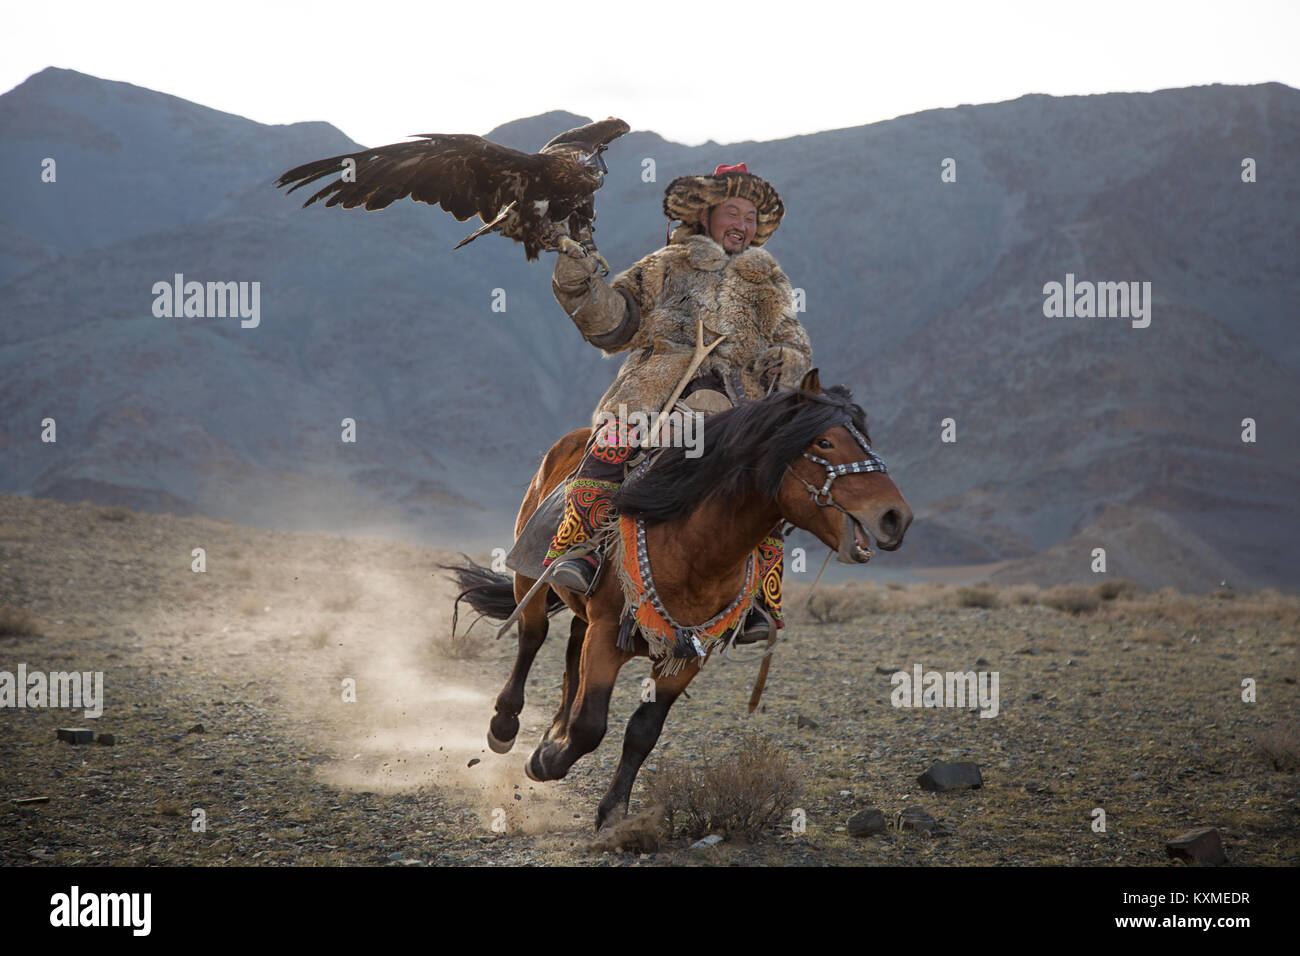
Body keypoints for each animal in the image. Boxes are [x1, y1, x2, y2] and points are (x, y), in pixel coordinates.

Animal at [447, 369, 915, 832]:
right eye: (824, 442)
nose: (896, 517)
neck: (693, 546)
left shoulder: (688, 653)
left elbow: (642, 731)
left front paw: (610, 810)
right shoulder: (607, 635)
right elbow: (590, 725)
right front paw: (546, 762)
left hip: (583, 612)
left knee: (570, 655)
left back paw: (550, 731)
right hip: (530, 578)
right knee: (533, 637)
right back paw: (504, 726)